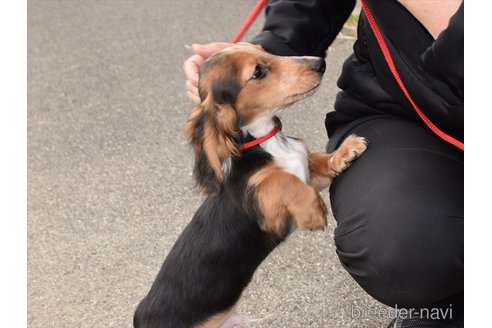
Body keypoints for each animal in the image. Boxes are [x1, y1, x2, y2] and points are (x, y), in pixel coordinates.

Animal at [133, 44, 368, 328]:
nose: (319, 63)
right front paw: (313, 211)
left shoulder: (307, 175)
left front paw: (345, 151)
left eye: (266, 50)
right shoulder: (267, 209)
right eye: (258, 72)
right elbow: (282, 180)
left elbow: (317, 161)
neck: (266, 140)